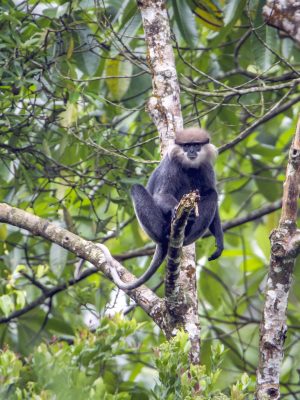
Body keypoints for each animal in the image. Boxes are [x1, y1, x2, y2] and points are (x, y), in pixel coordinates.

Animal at [110, 128, 223, 290]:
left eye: (196, 145)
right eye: (186, 146)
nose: (191, 151)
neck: (189, 167)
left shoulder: (207, 168)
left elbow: (211, 192)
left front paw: (219, 241)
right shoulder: (171, 166)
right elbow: (162, 194)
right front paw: (175, 209)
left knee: (212, 194)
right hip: (155, 228)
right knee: (136, 188)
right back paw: (168, 230)